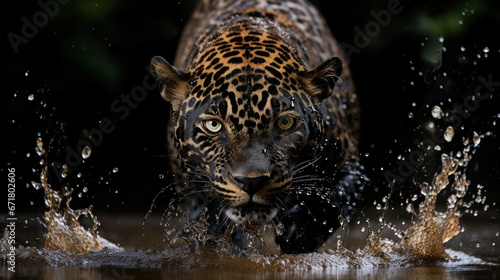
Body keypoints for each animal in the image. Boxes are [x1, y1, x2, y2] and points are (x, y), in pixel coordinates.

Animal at [150, 0, 366, 254]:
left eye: (285, 122)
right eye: (213, 125)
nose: (252, 182)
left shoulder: (351, 167)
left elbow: (332, 201)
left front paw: (299, 231)